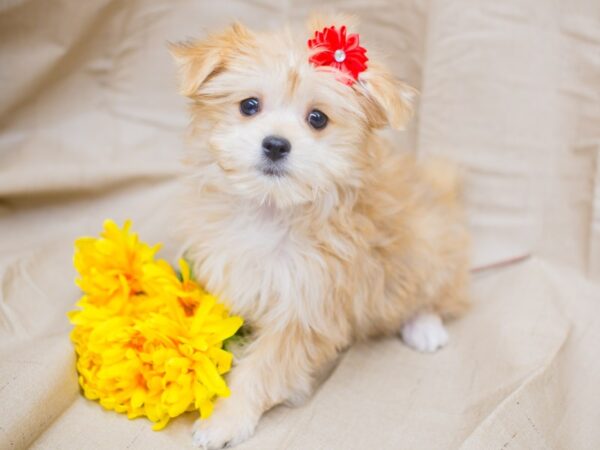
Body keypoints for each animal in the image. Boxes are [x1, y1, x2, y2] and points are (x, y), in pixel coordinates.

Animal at [171, 14, 472, 450]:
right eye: (249, 106)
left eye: (317, 119)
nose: (275, 144)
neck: (272, 210)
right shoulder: (229, 274)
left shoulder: (307, 310)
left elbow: (263, 369)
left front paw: (226, 419)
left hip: (427, 246)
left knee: (434, 293)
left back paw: (425, 326)